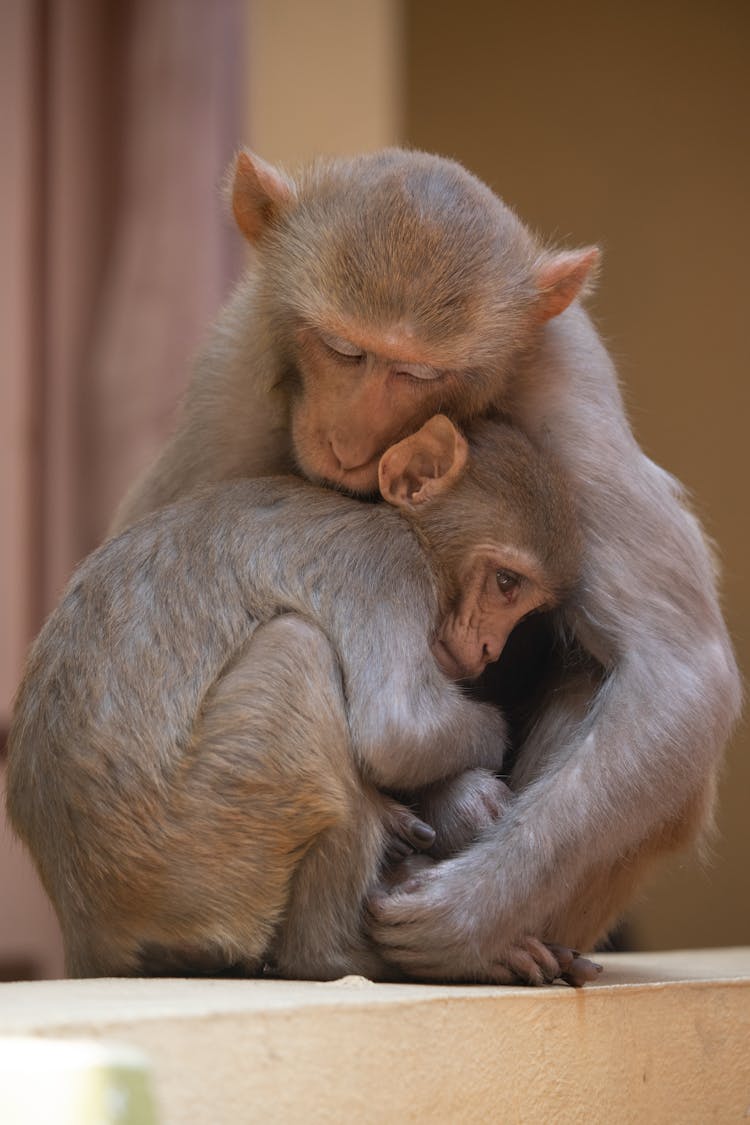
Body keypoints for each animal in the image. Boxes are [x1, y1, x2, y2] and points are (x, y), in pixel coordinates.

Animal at [7, 416, 593, 985]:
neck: (413, 534)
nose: (491, 647)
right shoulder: (387, 568)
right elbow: (401, 734)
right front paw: (478, 756)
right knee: (300, 649)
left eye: (524, 601)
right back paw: (342, 956)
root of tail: (87, 921)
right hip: (194, 846)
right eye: (505, 581)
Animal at [111, 151, 737, 985]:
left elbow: (678, 668)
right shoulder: (235, 372)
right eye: (344, 349)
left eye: (416, 374)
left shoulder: (568, 382)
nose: (348, 438)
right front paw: (459, 799)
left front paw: (468, 915)